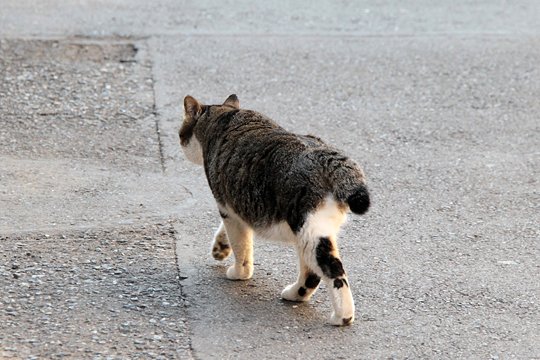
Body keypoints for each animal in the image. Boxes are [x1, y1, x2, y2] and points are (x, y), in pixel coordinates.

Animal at [179, 94, 370, 324]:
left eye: (182, 133)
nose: (180, 141)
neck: (224, 117)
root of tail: (323, 155)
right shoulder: (238, 207)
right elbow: (230, 233)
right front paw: (221, 247)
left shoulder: (227, 207)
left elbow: (241, 247)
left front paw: (239, 272)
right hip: (308, 233)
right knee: (312, 274)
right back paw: (295, 294)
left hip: (309, 230)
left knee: (333, 272)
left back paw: (342, 316)